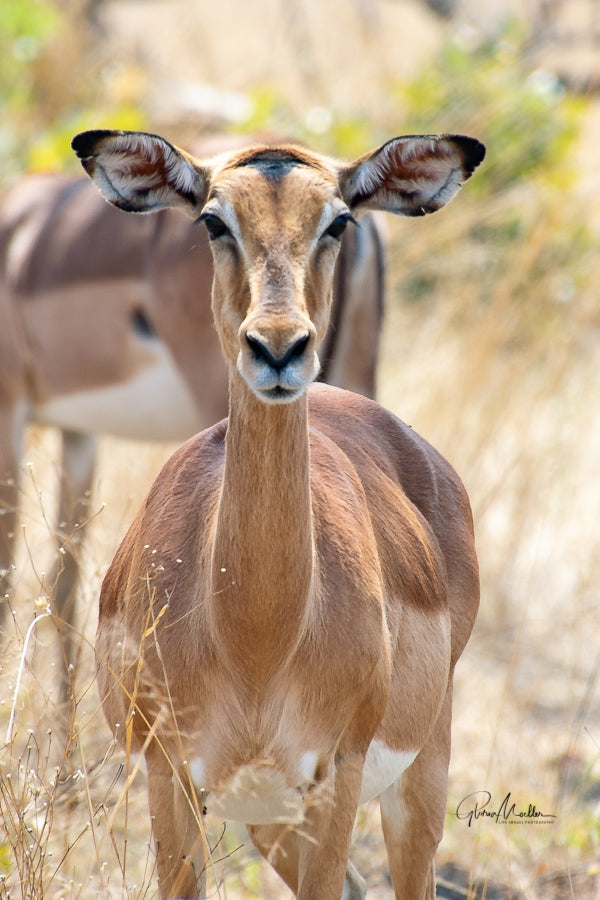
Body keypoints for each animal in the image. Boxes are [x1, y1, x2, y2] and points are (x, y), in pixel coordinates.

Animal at [72, 126, 483, 899]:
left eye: (338, 221)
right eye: (213, 219)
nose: (279, 347)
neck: (256, 639)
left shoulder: (334, 778)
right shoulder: (174, 780)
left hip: (419, 778)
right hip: (265, 816)